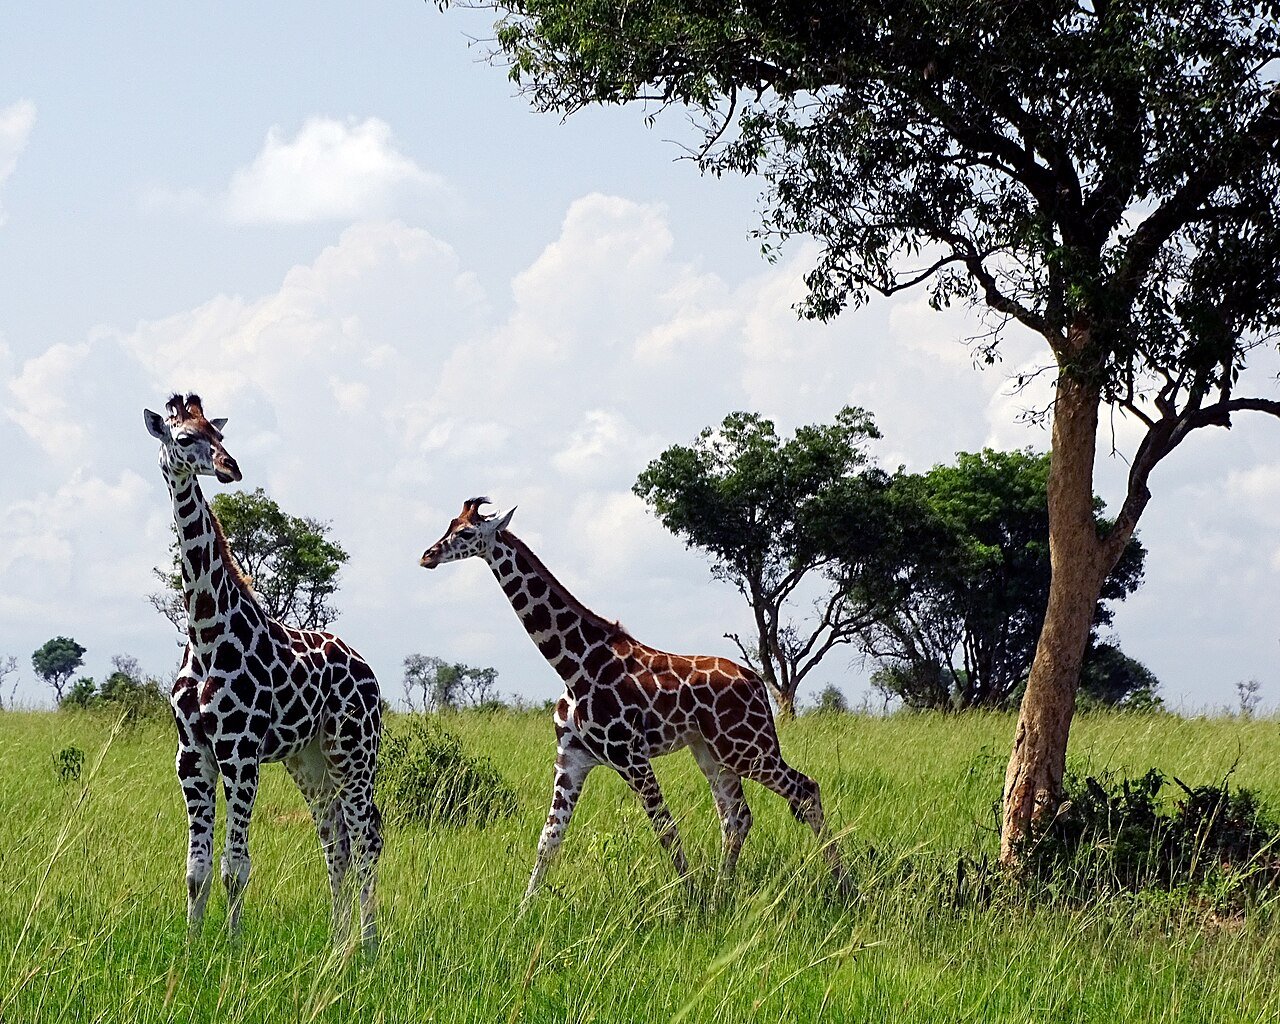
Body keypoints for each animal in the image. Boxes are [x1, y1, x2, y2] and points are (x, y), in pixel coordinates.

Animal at [145, 393, 383, 948]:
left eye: (219, 436)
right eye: (183, 437)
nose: (230, 467)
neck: (206, 632)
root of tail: (369, 670)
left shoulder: (241, 750)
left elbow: (236, 865)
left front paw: (230, 947)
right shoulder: (191, 755)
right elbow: (196, 868)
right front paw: (191, 947)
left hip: (354, 754)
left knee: (367, 837)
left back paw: (366, 943)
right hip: (310, 760)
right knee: (335, 840)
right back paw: (337, 942)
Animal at [419, 498, 848, 902]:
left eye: (465, 533)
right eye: (449, 524)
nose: (427, 556)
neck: (574, 664)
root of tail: (757, 683)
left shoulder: (630, 755)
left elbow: (665, 828)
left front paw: (690, 900)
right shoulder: (572, 757)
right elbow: (549, 838)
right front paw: (524, 911)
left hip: (748, 747)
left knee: (804, 789)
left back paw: (844, 886)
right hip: (713, 751)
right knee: (737, 817)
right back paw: (722, 893)